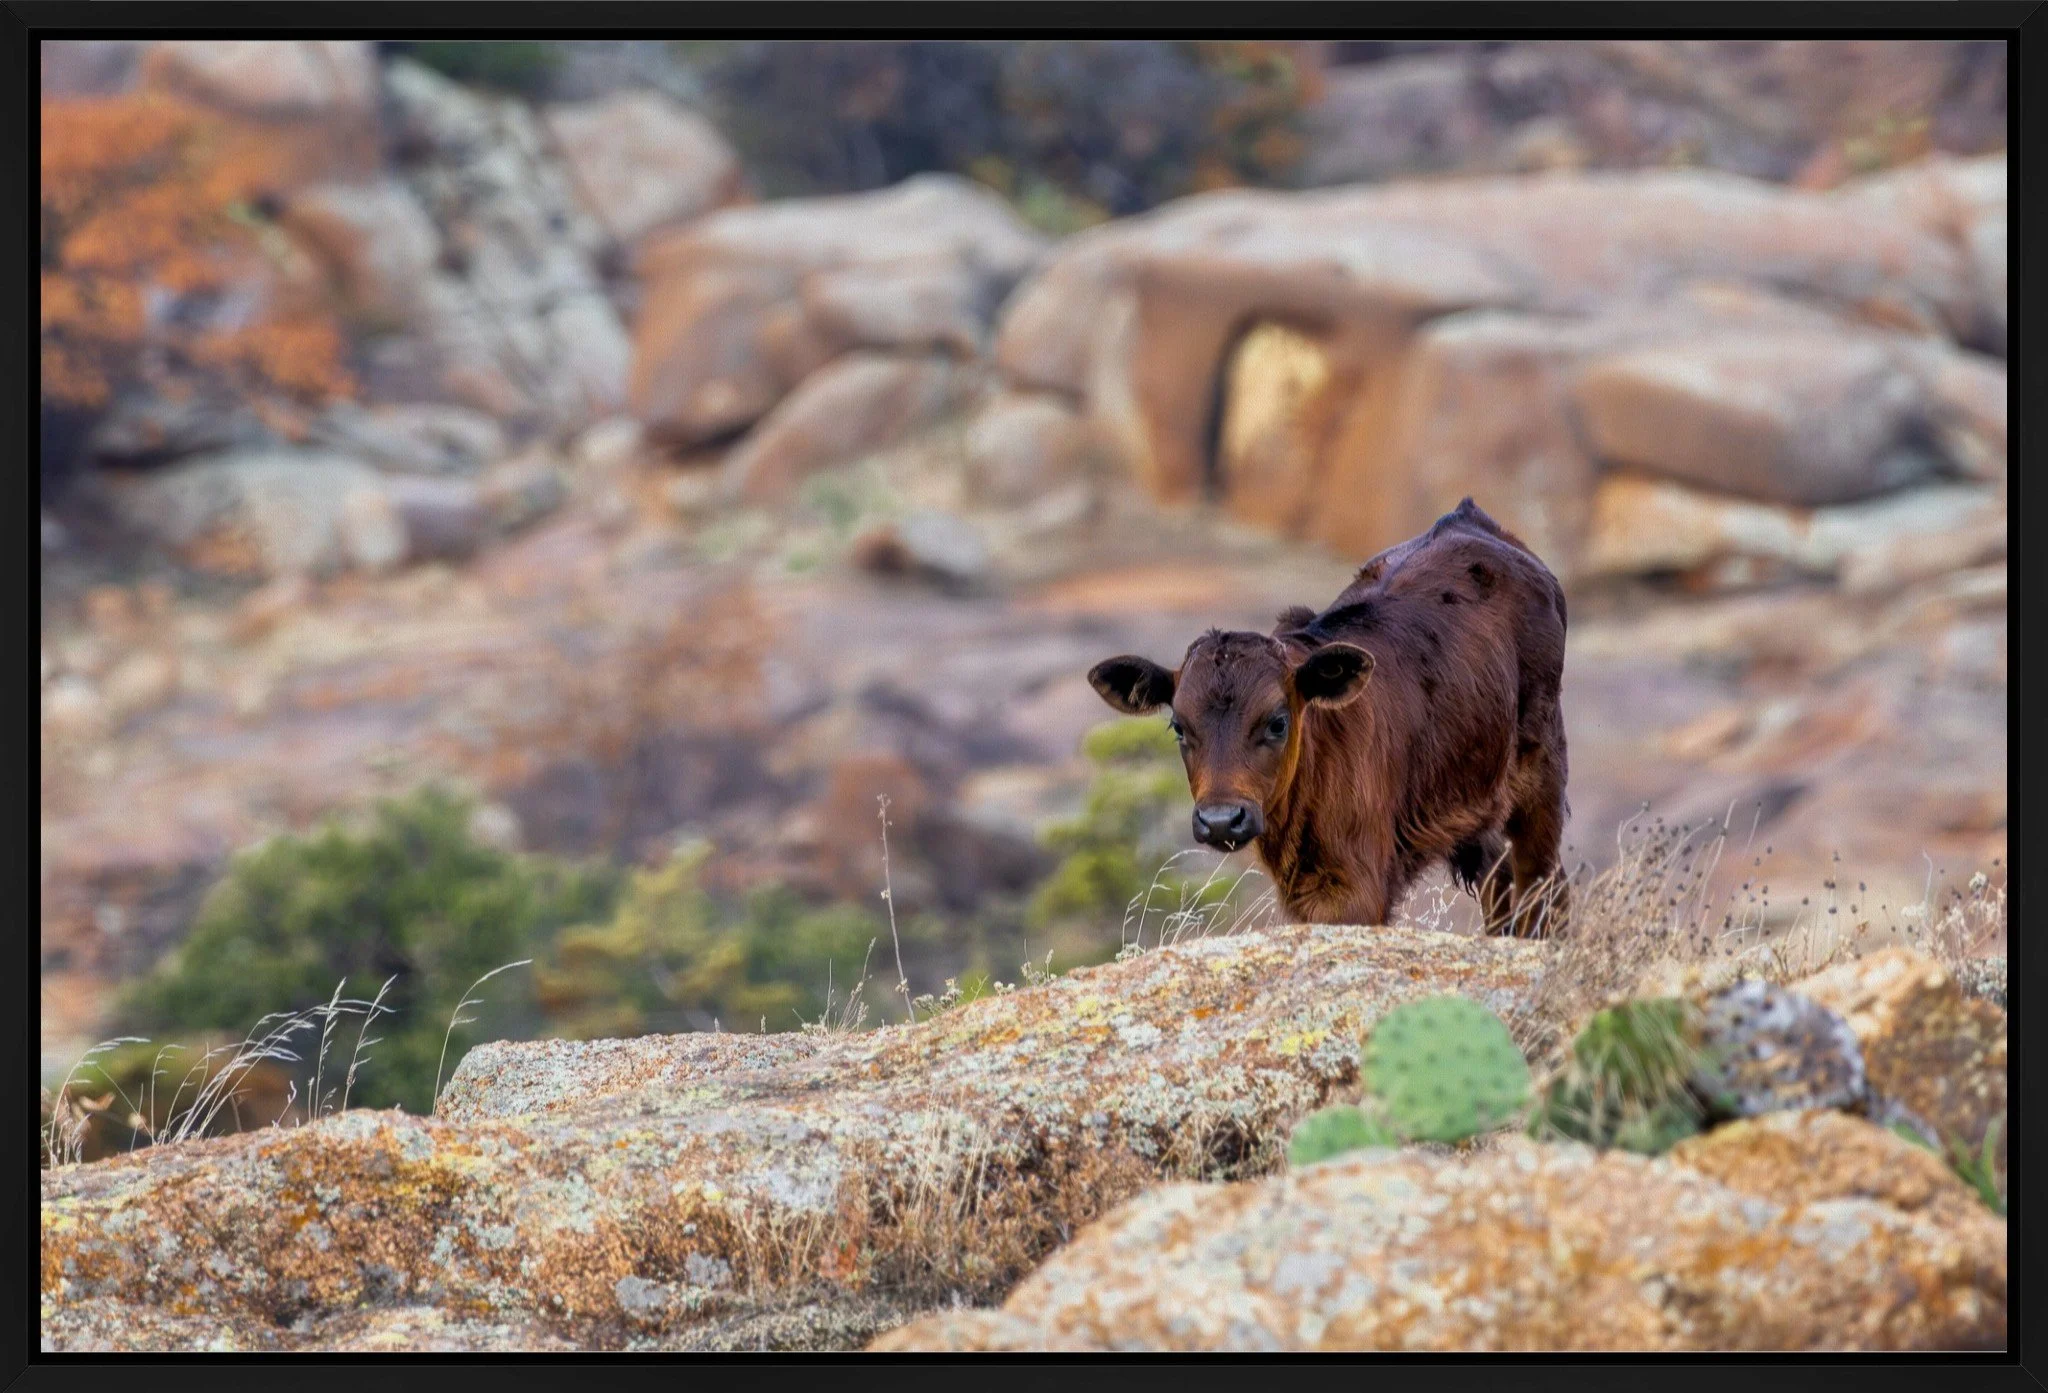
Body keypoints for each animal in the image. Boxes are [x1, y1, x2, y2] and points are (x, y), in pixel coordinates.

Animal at [1086, 498, 1569, 937]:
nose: (1222, 819)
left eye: (1278, 722)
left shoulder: (1358, 890)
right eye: (1179, 728)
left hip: (1541, 777)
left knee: (1542, 886)